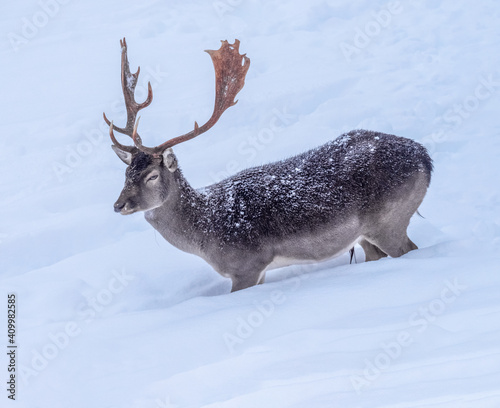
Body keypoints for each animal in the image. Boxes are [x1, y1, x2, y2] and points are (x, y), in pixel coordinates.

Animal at [105, 38, 434, 292]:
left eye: (151, 176)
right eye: (126, 172)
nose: (118, 205)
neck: (207, 233)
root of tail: (425, 158)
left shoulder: (247, 266)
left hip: (388, 220)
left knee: (411, 249)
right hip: (366, 237)